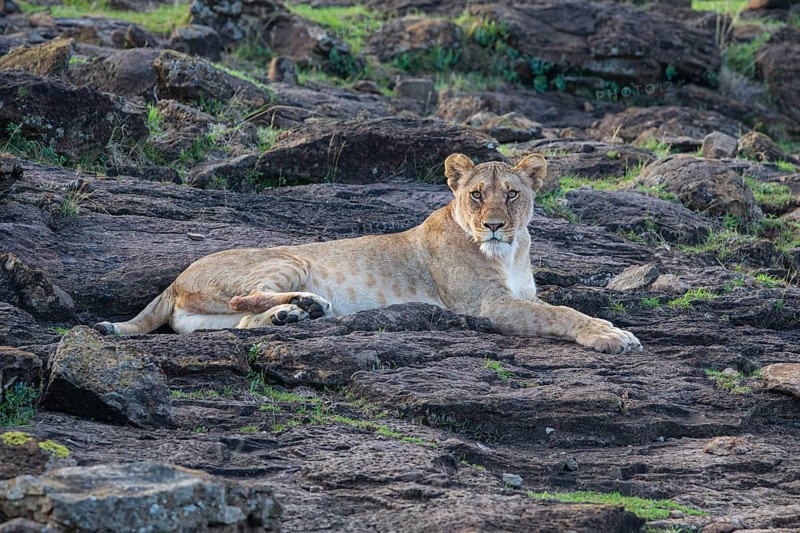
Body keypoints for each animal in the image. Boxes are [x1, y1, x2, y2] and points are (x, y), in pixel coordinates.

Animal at [94, 153, 641, 354]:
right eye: (475, 195)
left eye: (510, 194)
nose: (493, 225)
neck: (509, 252)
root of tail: (175, 279)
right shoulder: (485, 305)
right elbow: (560, 312)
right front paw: (610, 334)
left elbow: (553, 305)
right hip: (289, 259)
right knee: (242, 300)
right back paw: (312, 306)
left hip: (208, 316)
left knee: (241, 322)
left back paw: (293, 316)